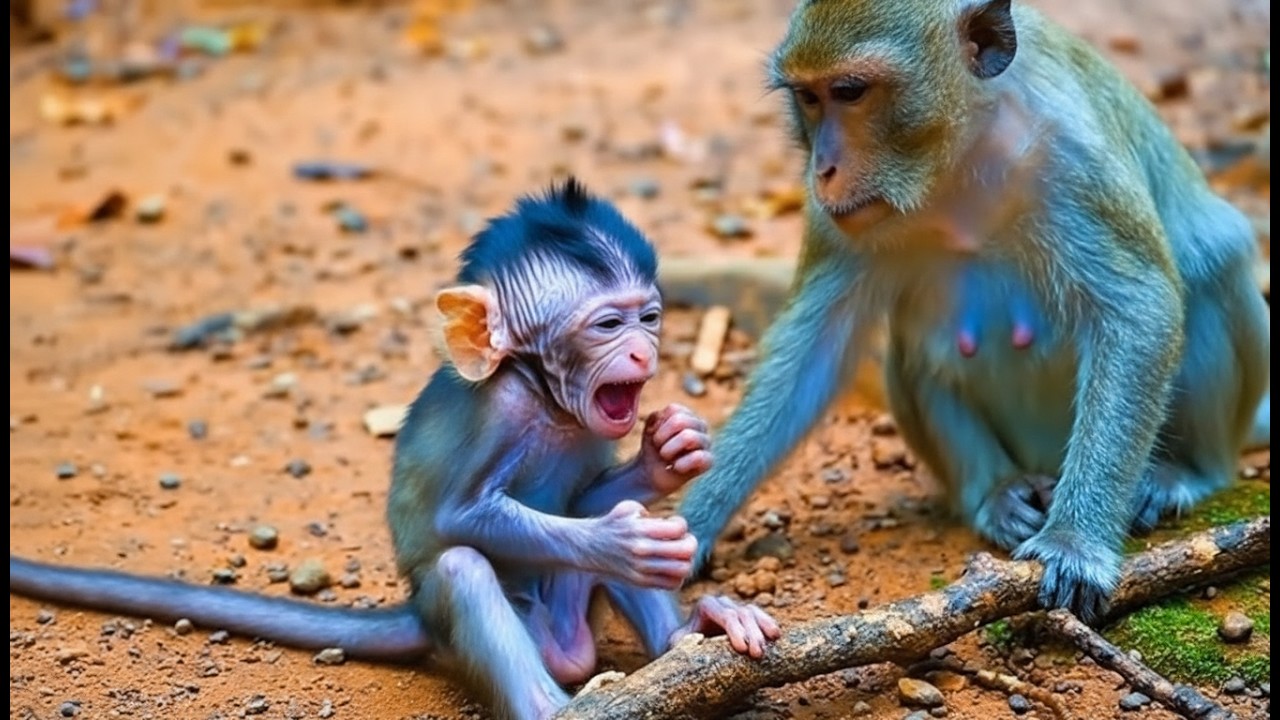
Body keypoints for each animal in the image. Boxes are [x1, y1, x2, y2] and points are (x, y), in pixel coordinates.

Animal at [10, 178, 780, 720]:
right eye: (608, 325)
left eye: (649, 317)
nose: (644, 350)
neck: (544, 395)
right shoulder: (499, 413)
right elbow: (458, 519)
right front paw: (617, 541)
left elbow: (598, 496)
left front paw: (666, 456)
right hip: (499, 628)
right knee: (464, 571)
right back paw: (555, 701)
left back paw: (694, 635)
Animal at [676, 0, 1270, 623]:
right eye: (809, 99)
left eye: (850, 91)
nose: (823, 169)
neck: (955, 156)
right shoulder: (837, 217)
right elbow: (814, 352)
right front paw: (689, 526)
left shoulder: (1076, 164)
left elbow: (1139, 309)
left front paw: (1075, 543)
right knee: (914, 350)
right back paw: (997, 492)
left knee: (1213, 266)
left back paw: (1183, 472)